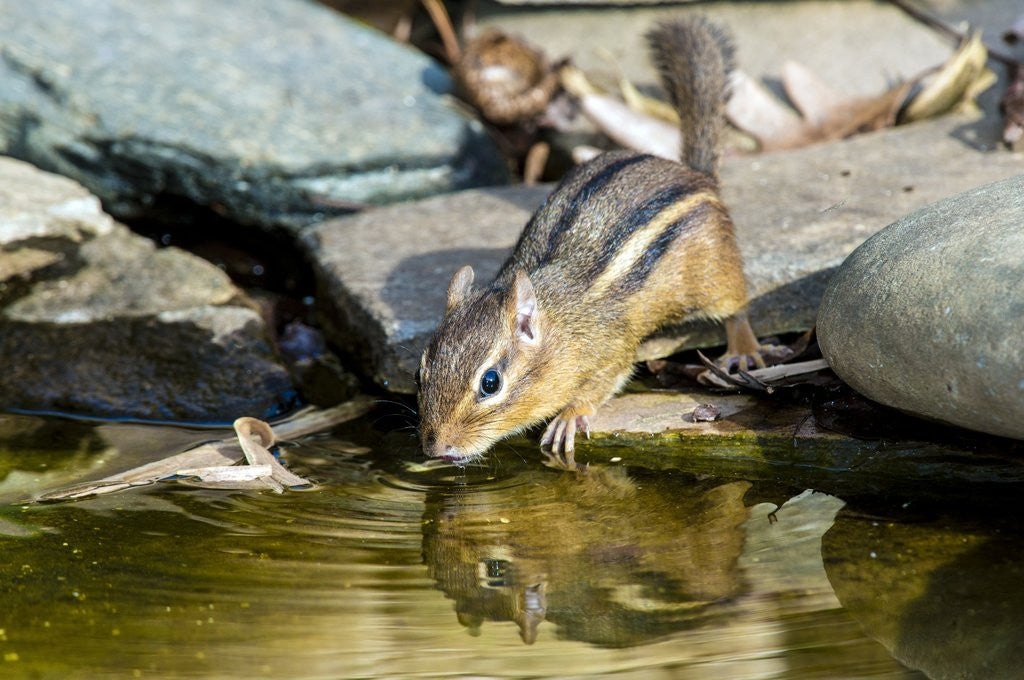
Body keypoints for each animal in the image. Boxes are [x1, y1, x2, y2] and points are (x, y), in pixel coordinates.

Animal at [418, 17, 771, 465]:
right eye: (420, 371)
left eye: (490, 382)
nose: (436, 448)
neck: (559, 324)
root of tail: (697, 174)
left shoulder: (612, 347)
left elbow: (606, 380)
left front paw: (570, 416)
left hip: (714, 274)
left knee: (736, 306)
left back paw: (742, 348)